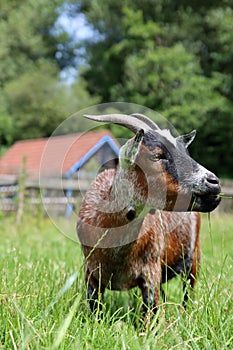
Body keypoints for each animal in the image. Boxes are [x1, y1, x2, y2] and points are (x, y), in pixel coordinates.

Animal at [77, 113, 221, 314]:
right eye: (157, 155)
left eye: (185, 153)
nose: (213, 182)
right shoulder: (91, 274)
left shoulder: (151, 272)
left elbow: (151, 311)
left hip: (194, 258)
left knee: (188, 291)